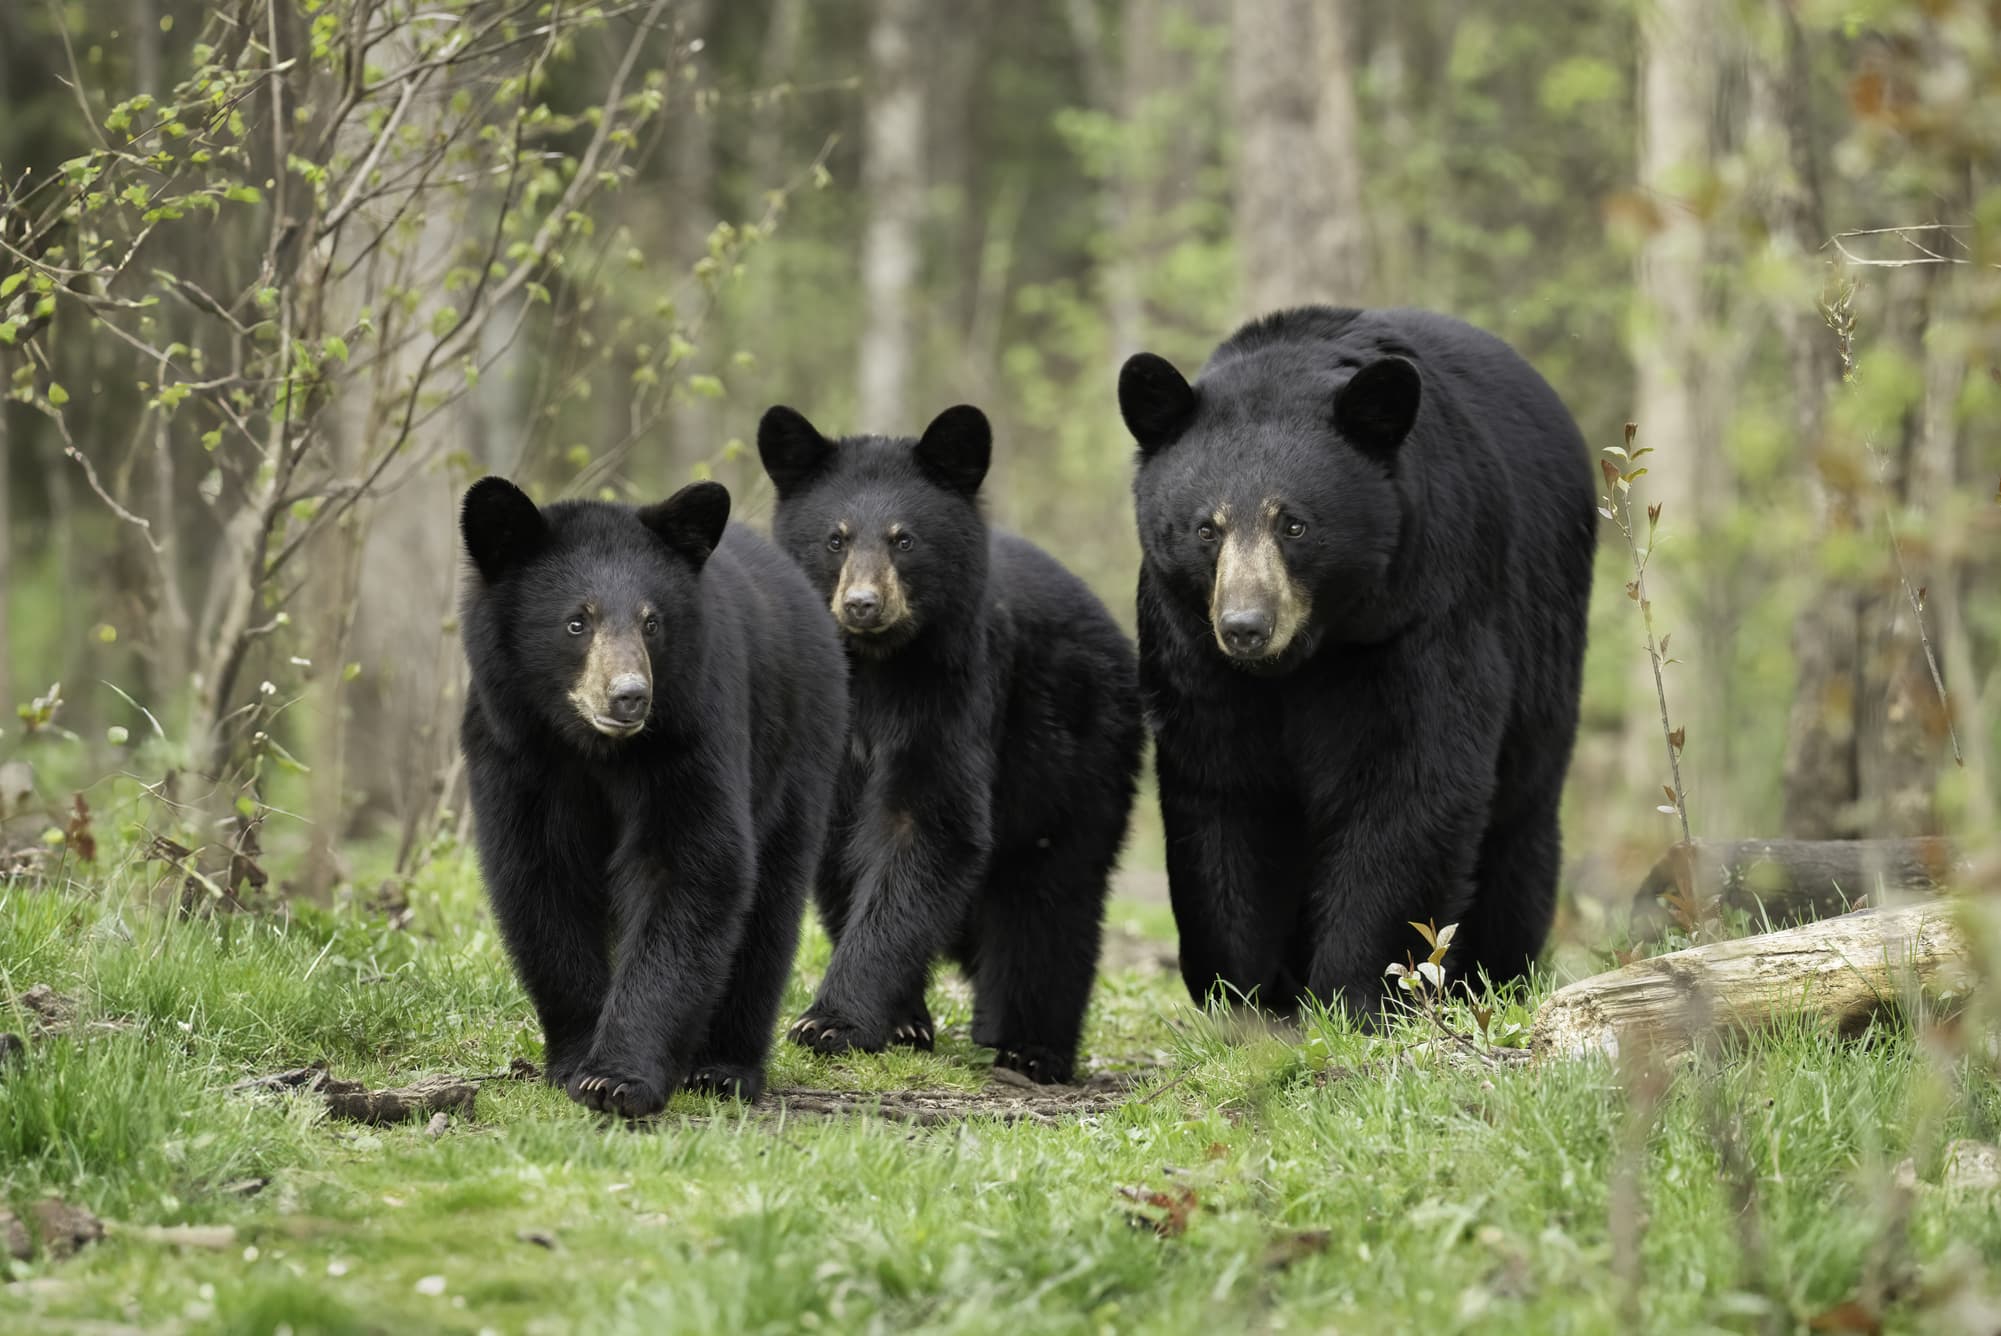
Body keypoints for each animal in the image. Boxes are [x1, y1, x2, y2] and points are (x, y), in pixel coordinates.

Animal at [457, 475, 847, 1116]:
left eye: (651, 623)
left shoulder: (691, 734)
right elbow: (540, 879)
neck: (594, 748)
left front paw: (615, 1078)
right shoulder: (514, 748)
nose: (629, 696)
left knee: (769, 903)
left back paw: (724, 1067)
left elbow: (691, 866)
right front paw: (574, 1060)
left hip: (798, 744)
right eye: (577, 622)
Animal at [756, 402, 1144, 1084]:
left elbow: (930, 826)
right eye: (836, 538)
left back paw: (1031, 1047)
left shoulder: (953, 691)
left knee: (1052, 899)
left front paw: (831, 1021)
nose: (862, 605)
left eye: (903, 539)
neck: (877, 666)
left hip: (1081, 756)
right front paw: (903, 1021)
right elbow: (839, 851)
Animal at [1116, 306, 1597, 1022]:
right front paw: (1242, 995)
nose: (1245, 628)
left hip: (1548, 645)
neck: (1307, 652)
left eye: (1294, 525)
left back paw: (1495, 972)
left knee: (1521, 822)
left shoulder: (1421, 612)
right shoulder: (1191, 646)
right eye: (1206, 528)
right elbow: (1224, 787)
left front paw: (1357, 994)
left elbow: (1411, 779)